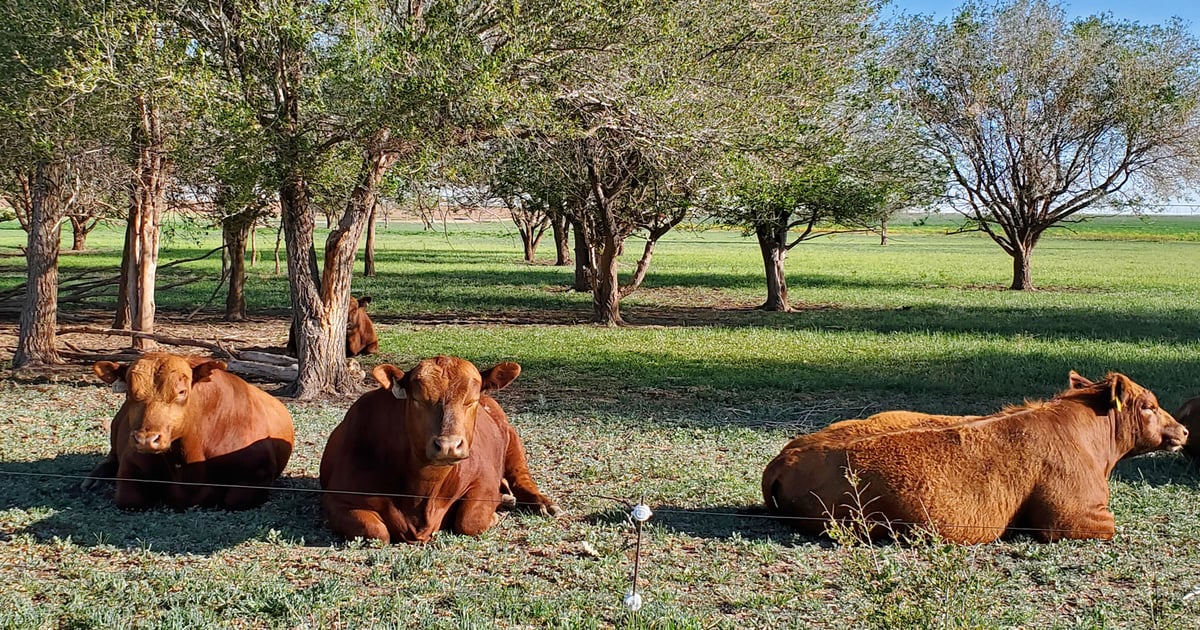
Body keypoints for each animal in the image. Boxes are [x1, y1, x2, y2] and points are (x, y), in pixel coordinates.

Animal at [84, 353, 295, 510]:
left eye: (181, 392)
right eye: (129, 392)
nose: (146, 439)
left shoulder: (259, 471)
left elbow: (235, 500)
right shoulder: (130, 464)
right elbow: (130, 499)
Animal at [319, 356, 560, 543]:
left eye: (471, 400)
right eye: (417, 399)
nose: (448, 446)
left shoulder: (484, 481)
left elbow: (469, 520)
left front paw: (493, 516)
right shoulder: (338, 498)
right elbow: (377, 532)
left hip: (512, 441)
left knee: (521, 479)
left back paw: (542, 503)